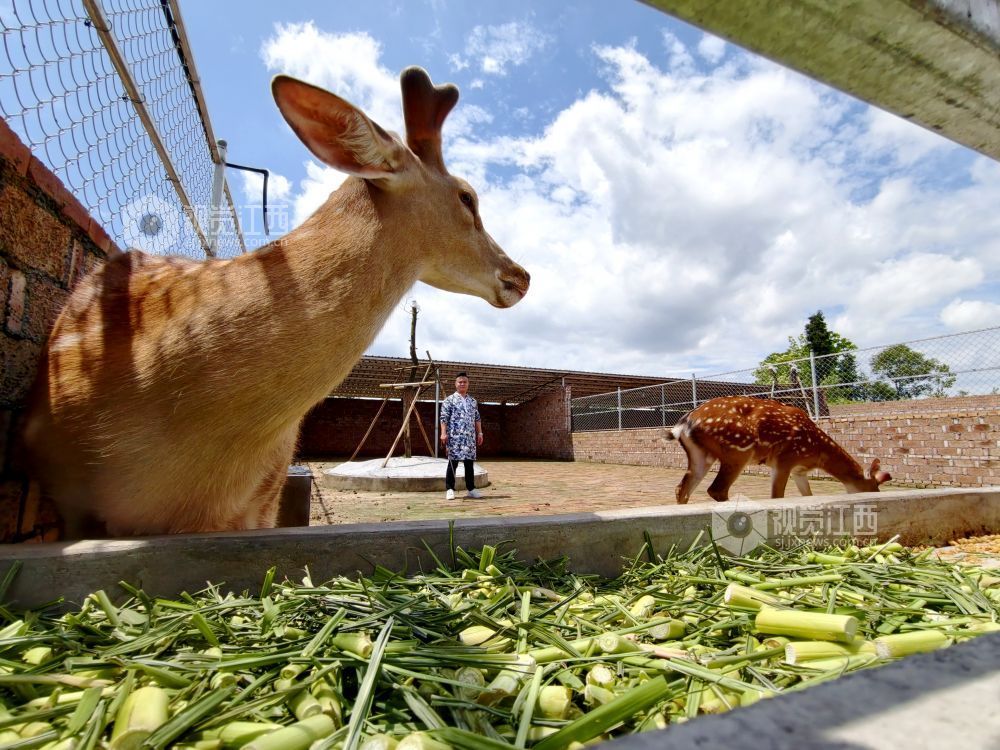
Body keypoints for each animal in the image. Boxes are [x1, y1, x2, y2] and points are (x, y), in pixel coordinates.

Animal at [663, 396, 890, 504]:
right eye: (873, 490)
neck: (817, 453)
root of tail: (684, 423)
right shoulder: (785, 459)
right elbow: (777, 496)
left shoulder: (799, 471)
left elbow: (807, 495)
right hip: (738, 450)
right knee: (716, 489)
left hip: (701, 455)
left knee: (682, 488)